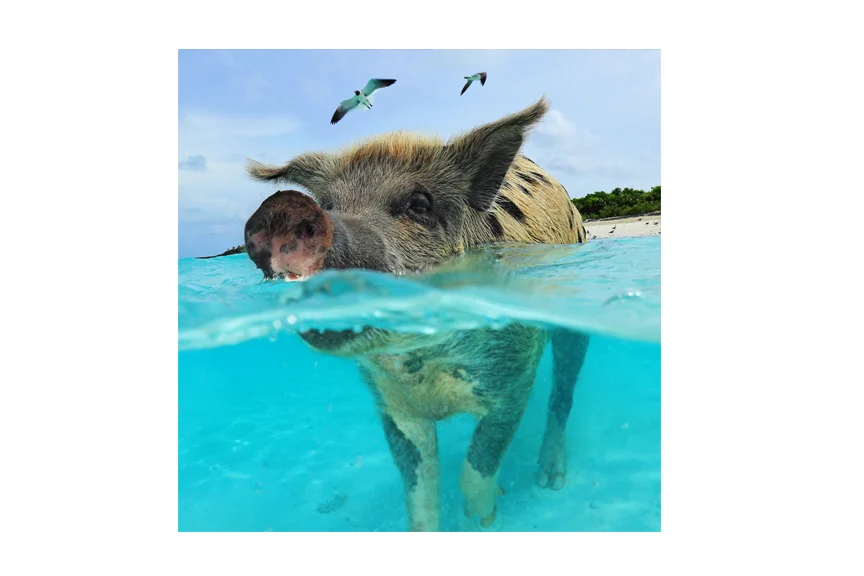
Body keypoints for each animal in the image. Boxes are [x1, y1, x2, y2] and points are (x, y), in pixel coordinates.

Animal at [243, 97, 591, 531]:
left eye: (419, 204)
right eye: (328, 206)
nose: (291, 213)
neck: (423, 363)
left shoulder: (514, 377)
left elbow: (476, 466)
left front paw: (485, 520)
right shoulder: (393, 405)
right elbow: (419, 489)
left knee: (563, 392)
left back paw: (550, 480)